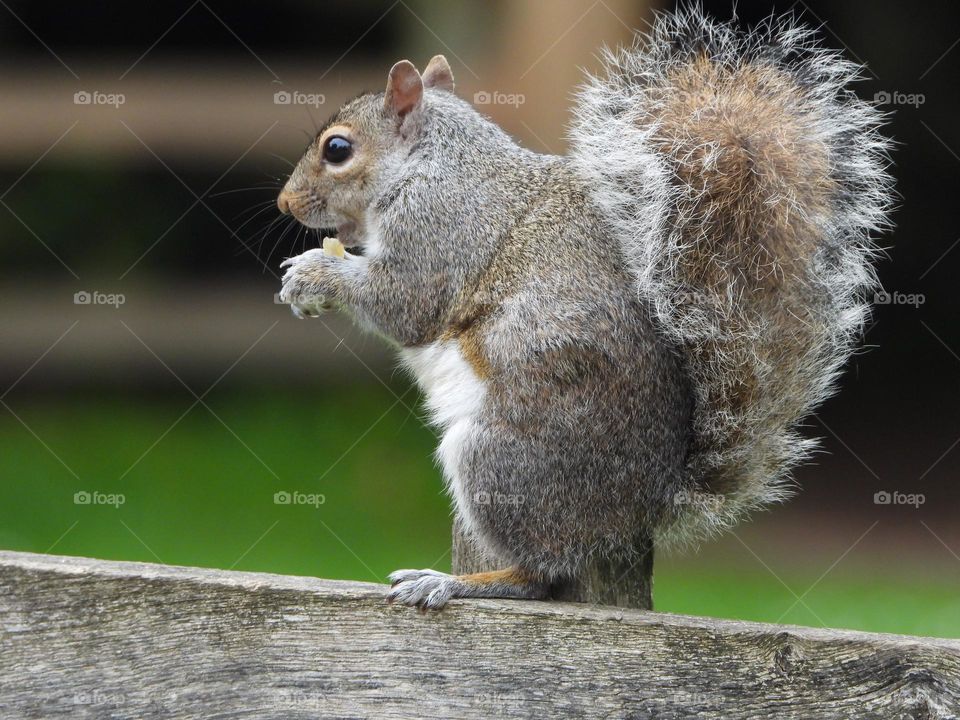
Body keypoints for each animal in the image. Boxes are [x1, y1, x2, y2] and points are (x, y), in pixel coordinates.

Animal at [276, 8, 892, 609]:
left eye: (337, 149)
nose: (284, 202)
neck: (430, 161)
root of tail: (639, 511)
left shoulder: (439, 227)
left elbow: (405, 303)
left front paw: (312, 273)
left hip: (499, 459)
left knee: (541, 574)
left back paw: (454, 582)